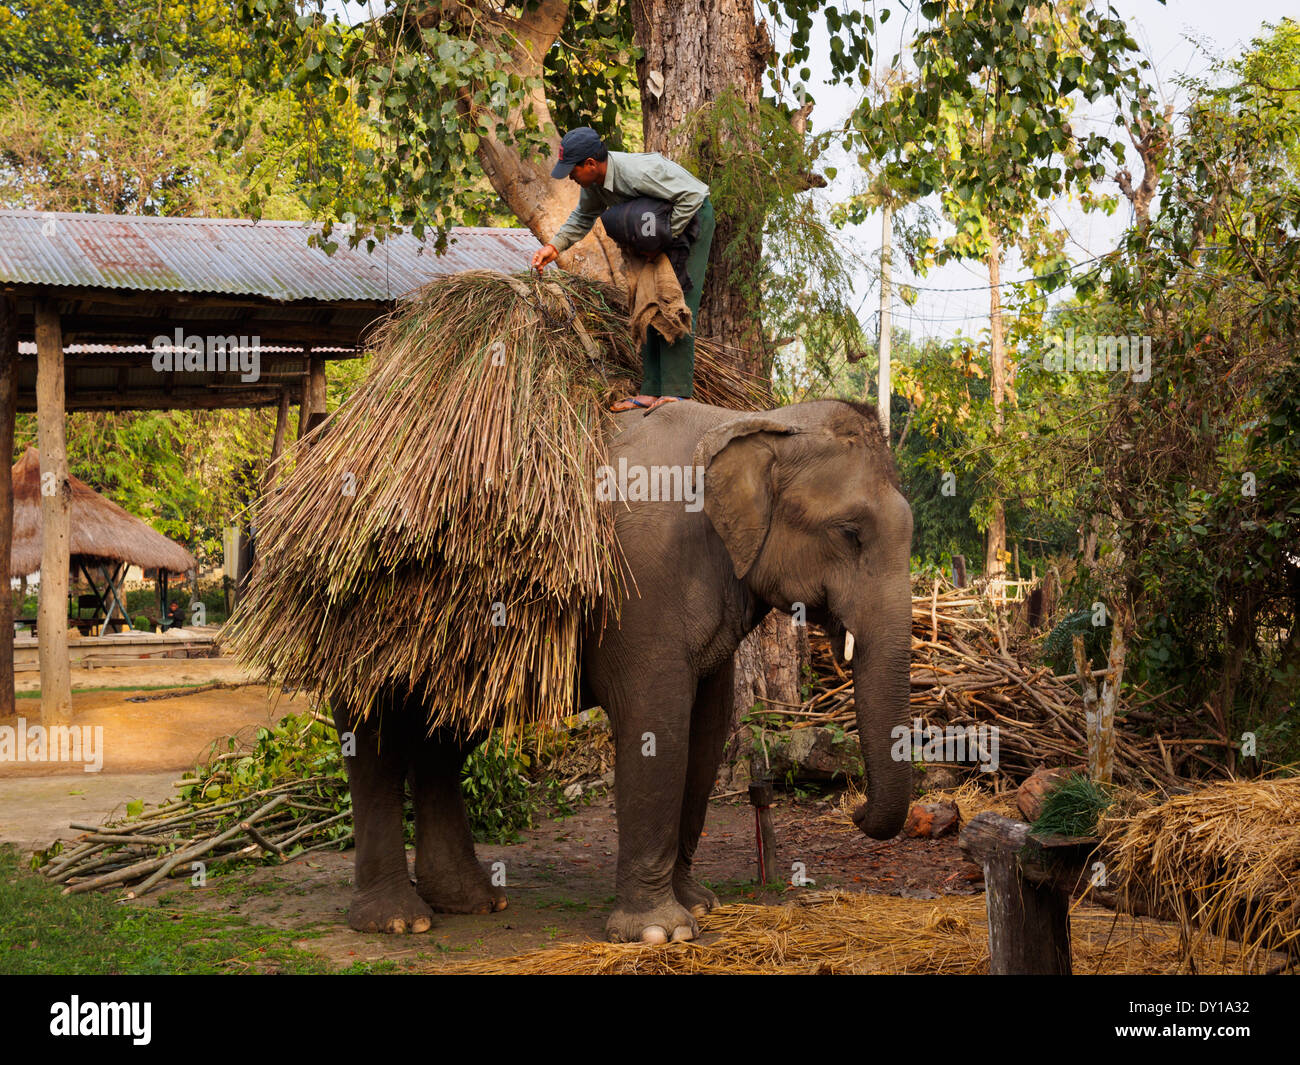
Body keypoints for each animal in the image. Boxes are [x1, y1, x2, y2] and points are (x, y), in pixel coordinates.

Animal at [331, 398, 914, 943]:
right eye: (850, 532)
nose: (856, 812)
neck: (750, 421)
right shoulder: (637, 585)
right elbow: (655, 723)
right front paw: (661, 933)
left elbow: (707, 730)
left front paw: (700, 906)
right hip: (359, 616)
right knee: (373, 741)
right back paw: (397, 921)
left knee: (443, 740)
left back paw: (472, 903)